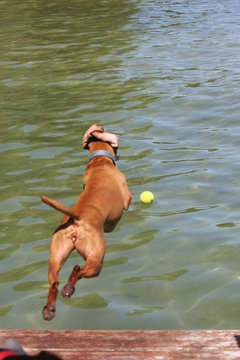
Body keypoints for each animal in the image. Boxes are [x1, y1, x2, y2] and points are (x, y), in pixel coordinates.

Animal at [40, 124, 131, 320]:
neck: (99, 161)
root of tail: (77, 218)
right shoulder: (127, 199)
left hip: (56, 255)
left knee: (54, 283)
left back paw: (49, 309)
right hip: (96, 260)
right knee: (77, 270)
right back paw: (68, 288)